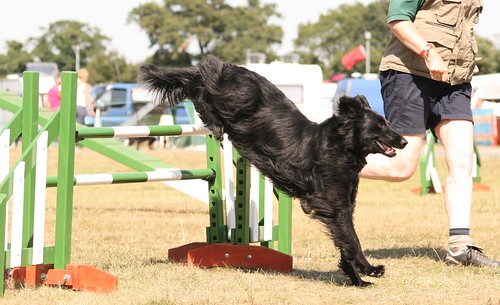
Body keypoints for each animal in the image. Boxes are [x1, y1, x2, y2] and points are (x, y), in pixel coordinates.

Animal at [137, 55, 406, 284]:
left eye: (386, 123)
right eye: (380, 125)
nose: (404, 141)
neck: (340, 147)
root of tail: (232, 68)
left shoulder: (343, 205)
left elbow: (344, 240)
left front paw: (357, 279)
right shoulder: (333, 204)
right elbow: (351, 238)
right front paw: (369, 269)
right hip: (240, 97)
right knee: (202, 85)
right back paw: (215, 123)